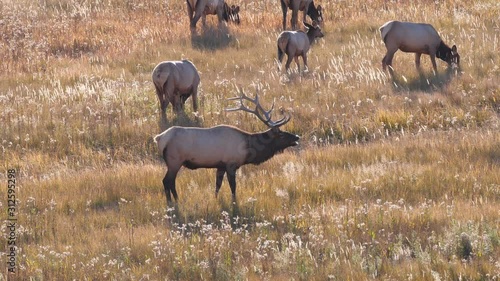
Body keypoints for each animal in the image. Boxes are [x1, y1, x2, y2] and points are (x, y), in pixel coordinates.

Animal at [154, 92, 298, 203]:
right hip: (174, 160)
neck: (247, 148)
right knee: (167, 181)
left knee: (169, 181)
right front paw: (234, 202)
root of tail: (159, 138)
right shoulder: (231, 164)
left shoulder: (220, 166)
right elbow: (233, 187)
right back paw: (173, 201)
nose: (296, 137)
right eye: (281, 134)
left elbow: (217, 186)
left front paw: (215, 199)